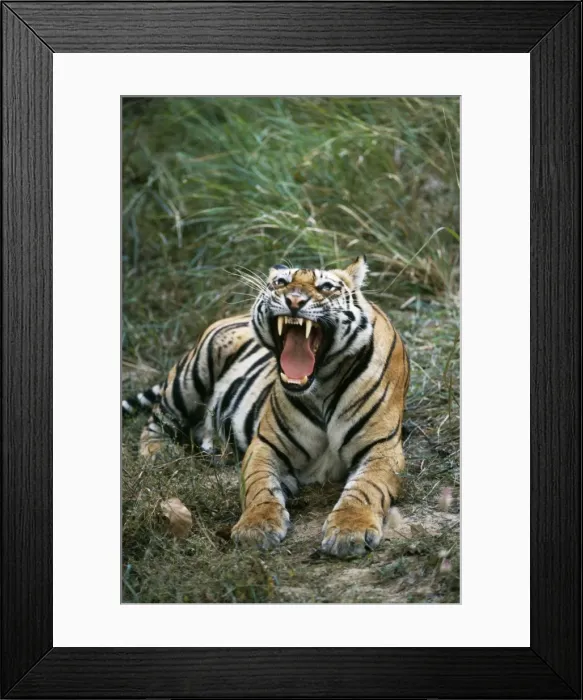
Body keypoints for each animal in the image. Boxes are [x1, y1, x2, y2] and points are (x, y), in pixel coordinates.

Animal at [123, 256, 410, 558]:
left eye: (326, 286)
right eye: (281, 282)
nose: (294, 300)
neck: (322, 386)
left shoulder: (381, 448)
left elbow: (365, 488)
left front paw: (349, 531)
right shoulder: (266, 445)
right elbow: (260, 487)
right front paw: (255, 528)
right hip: (191, 374)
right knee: (156, 419)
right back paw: (159, 453)